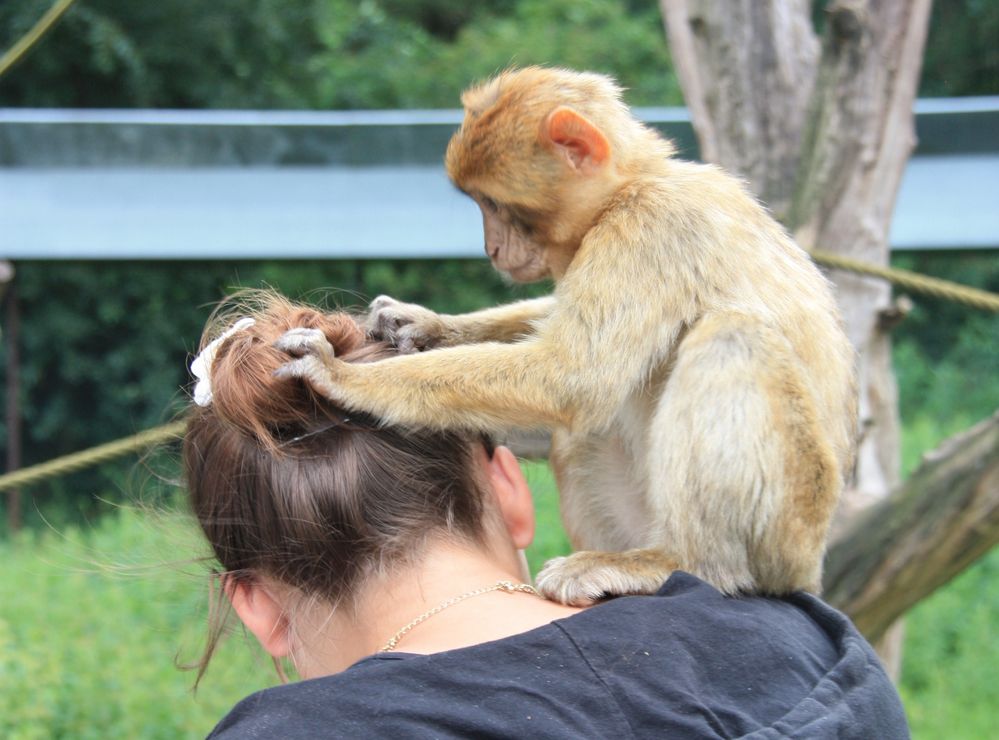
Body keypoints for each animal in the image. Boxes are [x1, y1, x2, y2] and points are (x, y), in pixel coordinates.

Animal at [276, 65, 860, 608]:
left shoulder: (649, 229)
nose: (491, 247)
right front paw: (422, 324)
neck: (629, 187)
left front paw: (342, 376)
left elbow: (571, 377)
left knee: (732, 338)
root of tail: (810, 566)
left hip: (789, 526)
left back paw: (681, 562)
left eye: (495, 205)